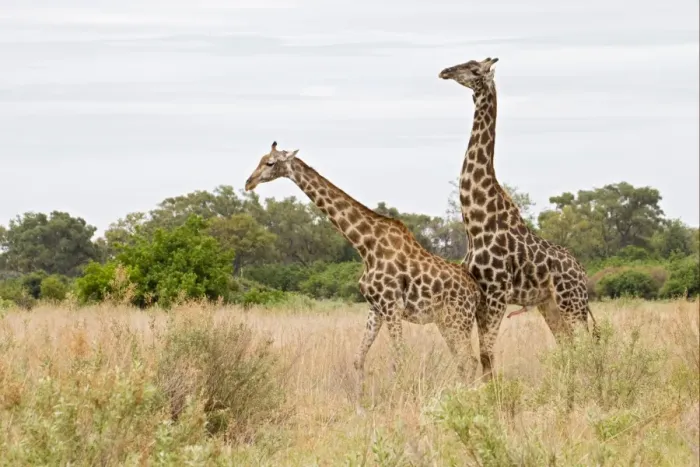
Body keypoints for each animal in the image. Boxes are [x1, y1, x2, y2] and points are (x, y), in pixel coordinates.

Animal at [244, 142, 485, 412]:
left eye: (270, 163)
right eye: (261, 158)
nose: (248, 182)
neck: (365, 245)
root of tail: (476, 291)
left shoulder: (391, 306)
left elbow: (399, 358)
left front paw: (397, 403)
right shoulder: (375, 308)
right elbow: (359, 358)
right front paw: (360, 406)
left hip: (458, 320)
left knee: (469, 360)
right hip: (446, 322)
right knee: (464, 360)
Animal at [438, 58, 599, 379]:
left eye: (474, 69)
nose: (445, 71)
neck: (477, 223)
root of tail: (581, 272)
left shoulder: (496, 295)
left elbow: (487, 355)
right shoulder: (482, 298)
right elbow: (483, 356)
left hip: (572, 302)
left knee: (585, 346)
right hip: (550, 305)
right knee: (569, 347)